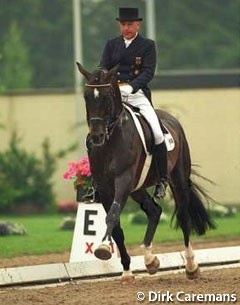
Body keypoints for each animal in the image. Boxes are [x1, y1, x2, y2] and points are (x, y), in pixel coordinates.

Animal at [76, 63, 215, 284]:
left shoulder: (123, 181)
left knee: (183, 216)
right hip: (137, 188)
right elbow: (117, 227)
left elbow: (112, 216)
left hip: (177, 180)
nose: (97, 136)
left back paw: (191, 266)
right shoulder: (106, 188)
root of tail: (171, 119)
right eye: (86, 96)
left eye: (106, 97)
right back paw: (150, 260)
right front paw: (126, 271)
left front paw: (104, 247)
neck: (112, 139)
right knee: (154, 211)